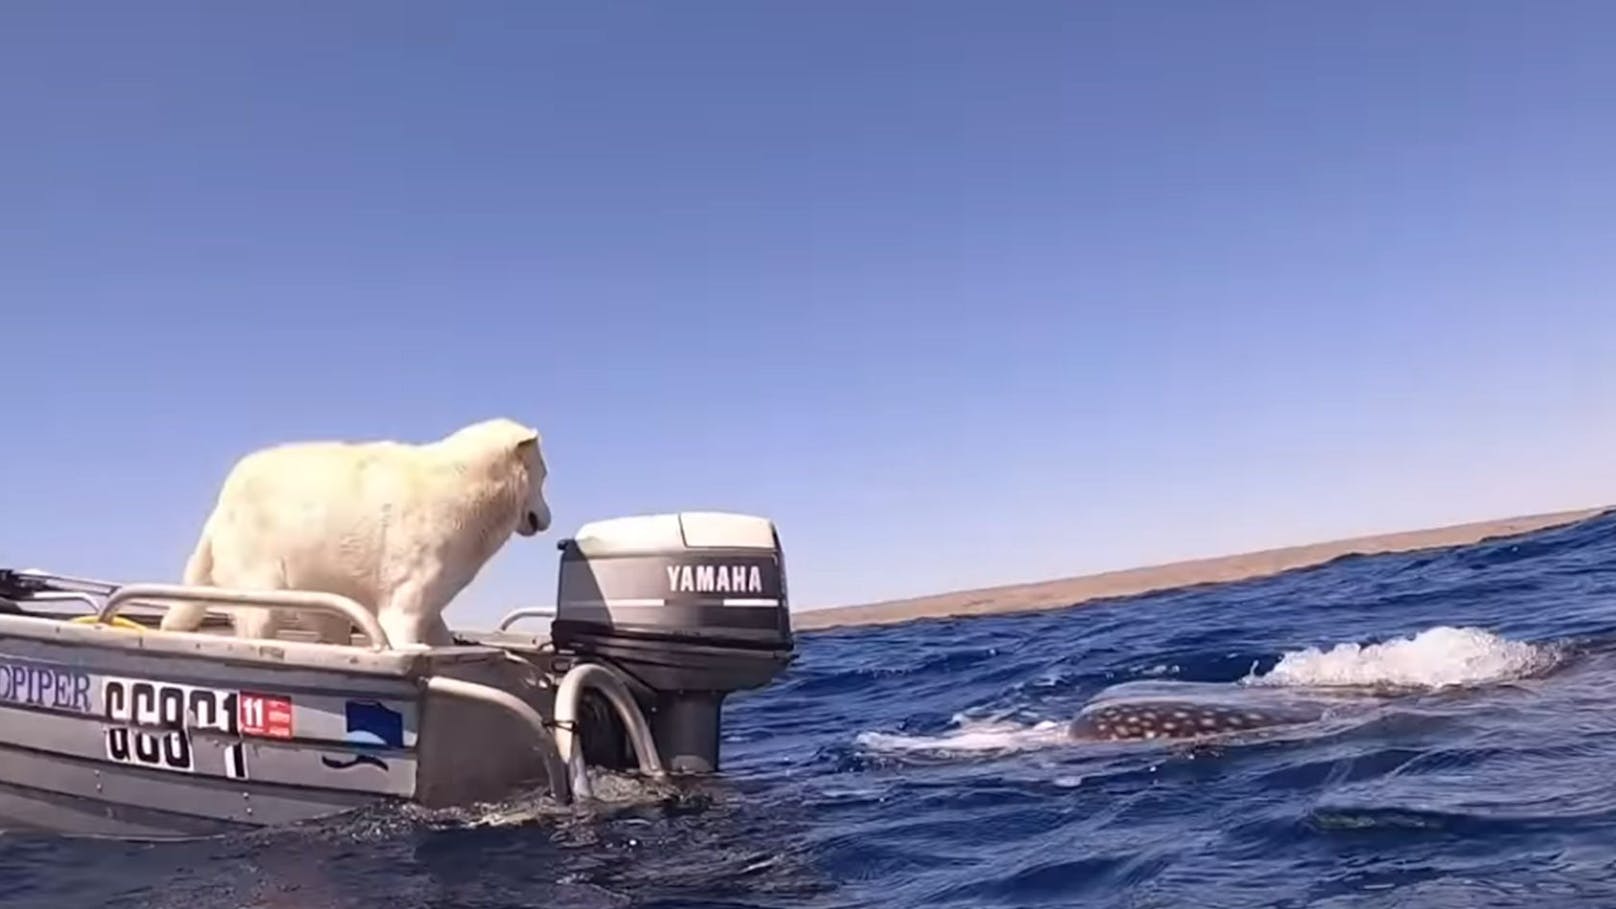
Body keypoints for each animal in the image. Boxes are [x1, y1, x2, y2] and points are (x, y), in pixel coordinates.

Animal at [159, 417, 549, 643]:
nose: (547, 519)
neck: (465, 483)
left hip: (322, 606)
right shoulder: (401, 614)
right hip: (264, 602)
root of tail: (222, 503)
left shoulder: (428, 612)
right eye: (544, 477)